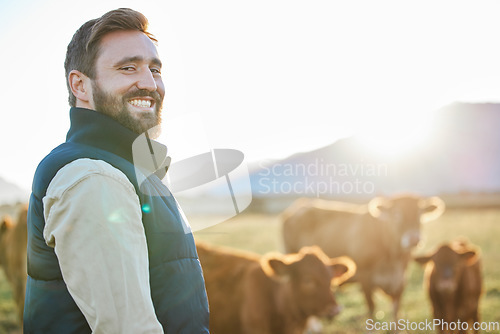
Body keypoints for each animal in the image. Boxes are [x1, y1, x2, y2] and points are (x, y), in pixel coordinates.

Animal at [282, 196, 446, 318]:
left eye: (420, 214)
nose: (414, 239)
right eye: (396, 214)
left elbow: (395, 311)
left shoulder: (400, 280)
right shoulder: (365, 278)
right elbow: (371, 308)